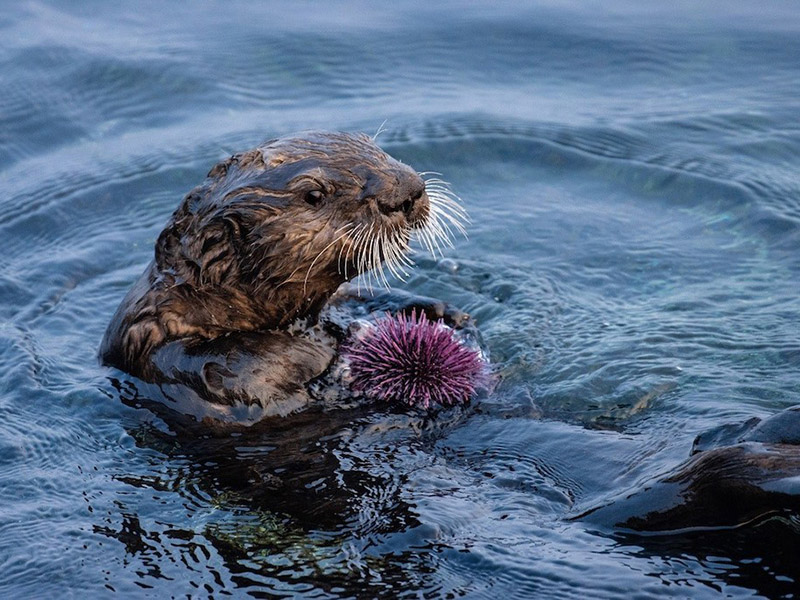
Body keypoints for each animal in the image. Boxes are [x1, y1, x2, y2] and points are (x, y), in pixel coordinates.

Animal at [103, 131, 472, 422]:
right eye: (314, 195)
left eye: (371, 145)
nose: (410, 191)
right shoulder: (159, 352)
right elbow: (232, 366)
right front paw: (312, 352)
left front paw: (439, 312)